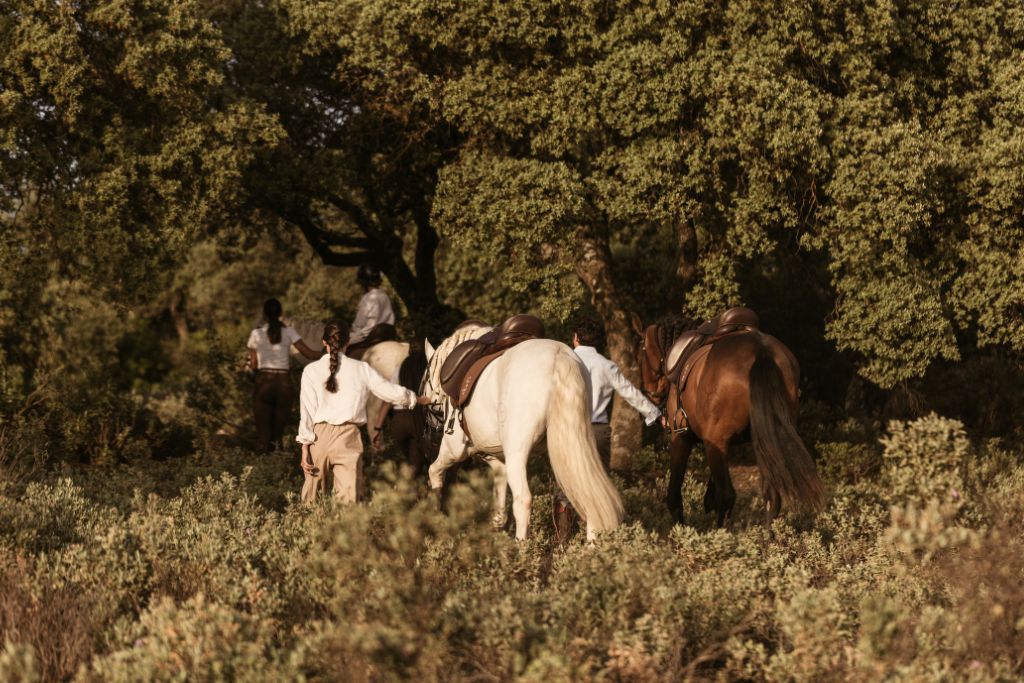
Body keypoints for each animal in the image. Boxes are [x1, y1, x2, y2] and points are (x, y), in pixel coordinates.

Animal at [421, 323, 623, 541]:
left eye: (424, 380)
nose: (429, 434)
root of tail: (560, 357)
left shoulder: (455, 449)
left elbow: (434, 472)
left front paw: (435, 516)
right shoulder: (493, 455)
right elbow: (499, 498)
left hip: (517, 452)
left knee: (523, 500)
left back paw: (521, 546)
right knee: (588, 498)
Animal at [636, 318, 825, 527]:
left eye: (641, 353)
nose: (648, 394)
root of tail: (761, 350)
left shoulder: (682, 438)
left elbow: (674, 496)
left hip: (716, 441)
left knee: (728, 496)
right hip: (763, 441)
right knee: (771, 498)